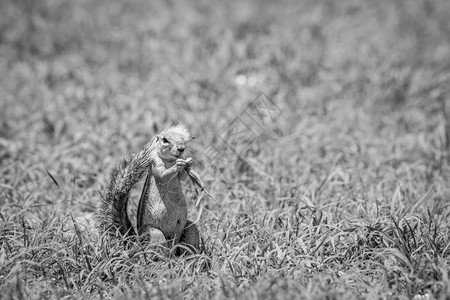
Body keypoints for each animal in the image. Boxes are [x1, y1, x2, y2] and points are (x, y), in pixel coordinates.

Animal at [97, 123, 200, 253]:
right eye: (165, 140)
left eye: (183, 140)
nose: (181, 148)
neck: (170, 160)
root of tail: (137, 244)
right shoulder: (155, 161)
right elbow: (162, 175)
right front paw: (178, 165)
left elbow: (182, 177)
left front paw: (188, 164)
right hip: (155, 234)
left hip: (190, 229)